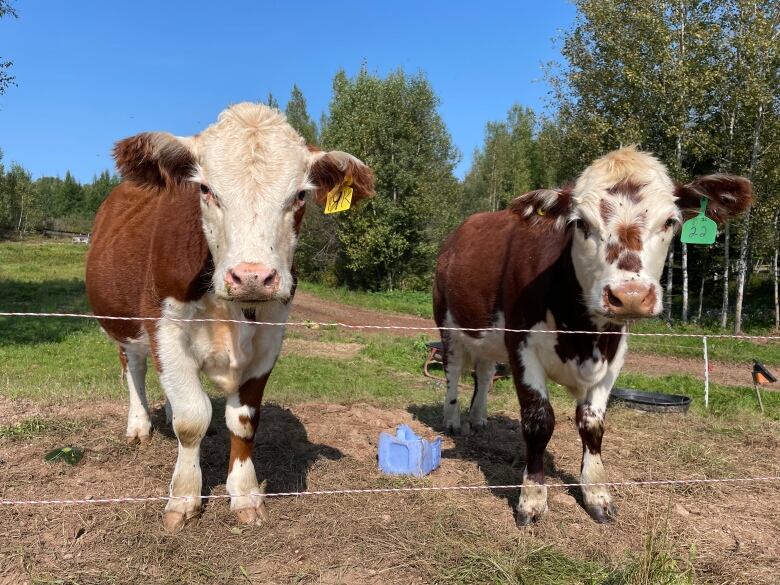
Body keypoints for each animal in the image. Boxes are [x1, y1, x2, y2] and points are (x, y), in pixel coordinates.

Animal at [87, 102, 374, 532]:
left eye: (300, 195)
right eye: (206, 190)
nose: (252, 276)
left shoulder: (270, 336)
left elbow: (243, 420)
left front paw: (244, 493)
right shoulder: (165, 328)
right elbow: (192, 419)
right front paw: (184, 496)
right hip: (124, 323)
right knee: (134, 366)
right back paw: (139, 424)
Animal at [432, 146, 748, 524]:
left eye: (670, 222)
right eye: (580, 223)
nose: (630, 295)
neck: (583, 335)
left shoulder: (614, 353)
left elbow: (592, 425)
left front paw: (597, 493)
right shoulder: (521, 345)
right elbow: (539, 421)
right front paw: (532, 498)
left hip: (489, 336)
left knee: (484, 370)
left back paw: (478, 418)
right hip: (447, 322)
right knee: (453, 372)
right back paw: (453, 420)